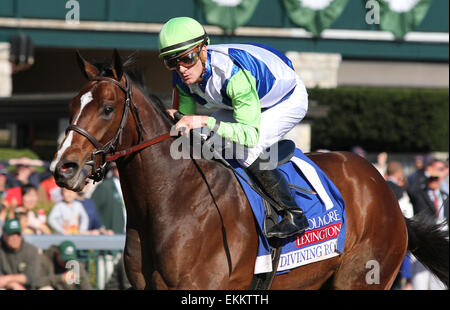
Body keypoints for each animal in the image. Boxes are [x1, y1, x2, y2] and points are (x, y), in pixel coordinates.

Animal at [51, 50, 446, 290]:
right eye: (71, 105)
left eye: (107, 108)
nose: (63, 168)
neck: (173, 201)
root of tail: (385, 191)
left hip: (362, 277)